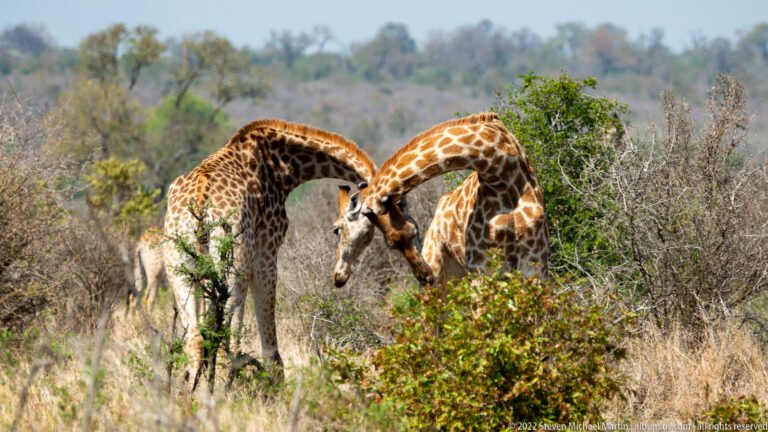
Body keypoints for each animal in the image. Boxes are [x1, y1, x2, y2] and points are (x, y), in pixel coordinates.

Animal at [163, 119, 375, 384]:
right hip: (235, 265)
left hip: (178, 265)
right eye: (337, 229)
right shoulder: (266, 252)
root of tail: (200, 206)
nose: (340, 278)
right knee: (227, 343)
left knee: (196, 340)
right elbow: (271, 349)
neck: (283, 167)